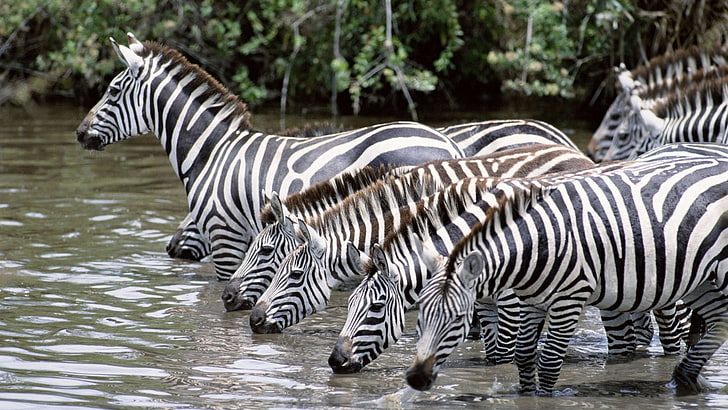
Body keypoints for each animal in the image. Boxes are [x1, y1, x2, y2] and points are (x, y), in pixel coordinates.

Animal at [406, 153, 728, 394]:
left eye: (459, 318)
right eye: (420, 314)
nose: (415, 379)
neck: (538, 243)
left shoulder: (569, 298)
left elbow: (548, 361)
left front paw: (544, 398)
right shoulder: (532, 300)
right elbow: (524, 355)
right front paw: (526, 395)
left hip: (720, 270)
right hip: (699, 278)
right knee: (719, 318)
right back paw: (687, 377)